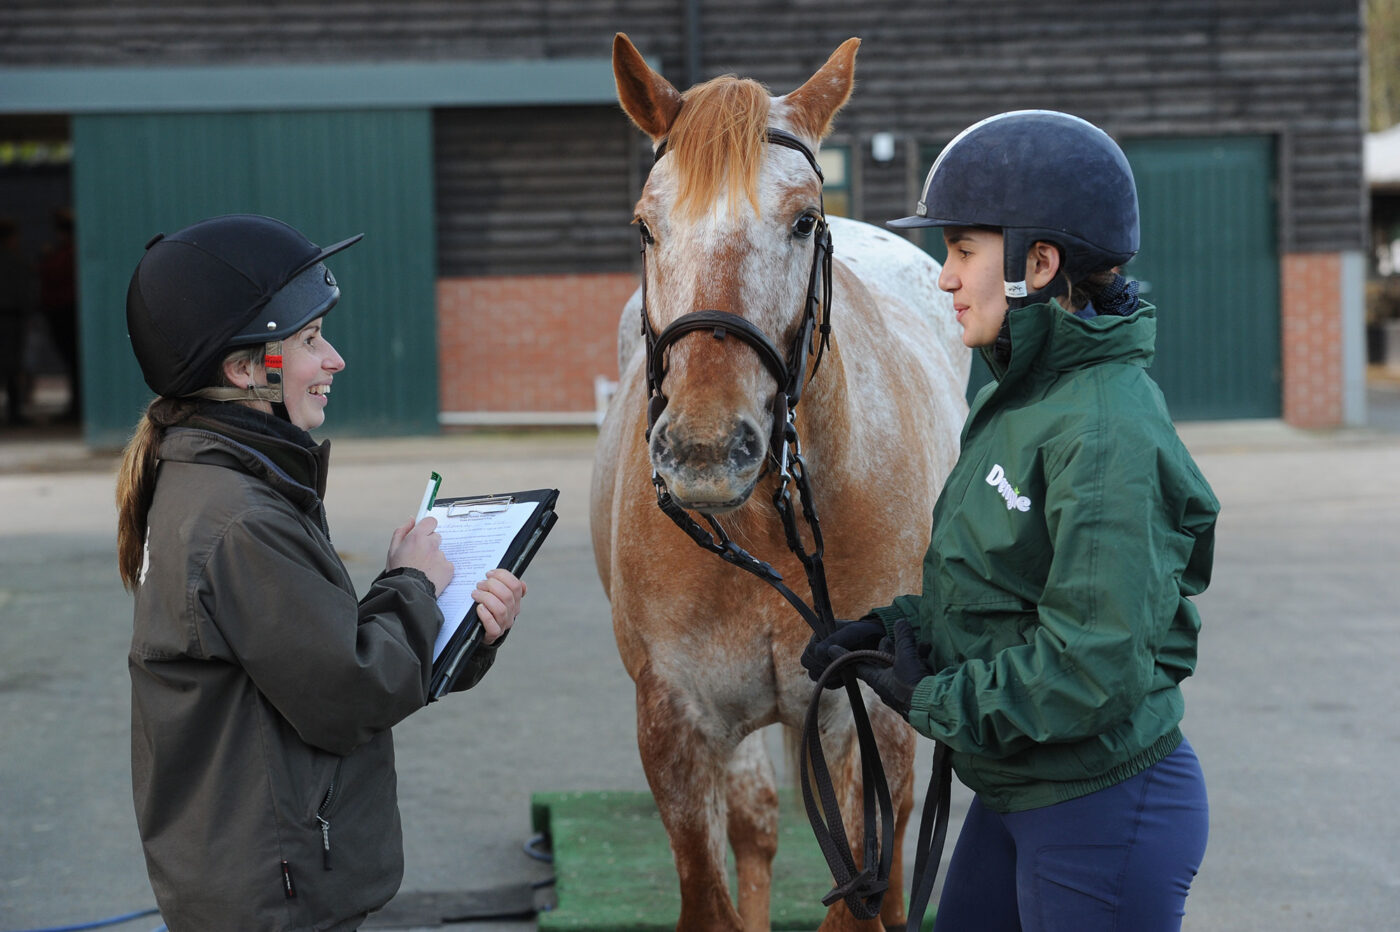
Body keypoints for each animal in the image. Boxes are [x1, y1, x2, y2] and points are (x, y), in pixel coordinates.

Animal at [590, 32, 974, 923]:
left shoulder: (867, 721)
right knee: (758, 828)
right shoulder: (676, 727)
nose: (703, 449)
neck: (768, 523)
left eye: (803, 221)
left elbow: (866, 891)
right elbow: (715, 891)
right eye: (646, 228)